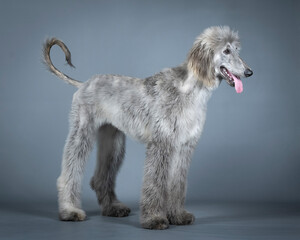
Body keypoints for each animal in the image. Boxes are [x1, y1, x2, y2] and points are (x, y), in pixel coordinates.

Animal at [42, 25, 253, 230]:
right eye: (226, 50)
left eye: (237, 49)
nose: (249, 72)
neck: (190, 91)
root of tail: (84, 84)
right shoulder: (161, 143)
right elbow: (155, 182)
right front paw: (154, 219)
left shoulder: (183, 146)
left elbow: (177, 184)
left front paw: (178, 215)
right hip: (82, 132)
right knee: (69, 172)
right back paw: (70, 211)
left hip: (113, 142)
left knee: (101, 178)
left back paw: (113, 208)